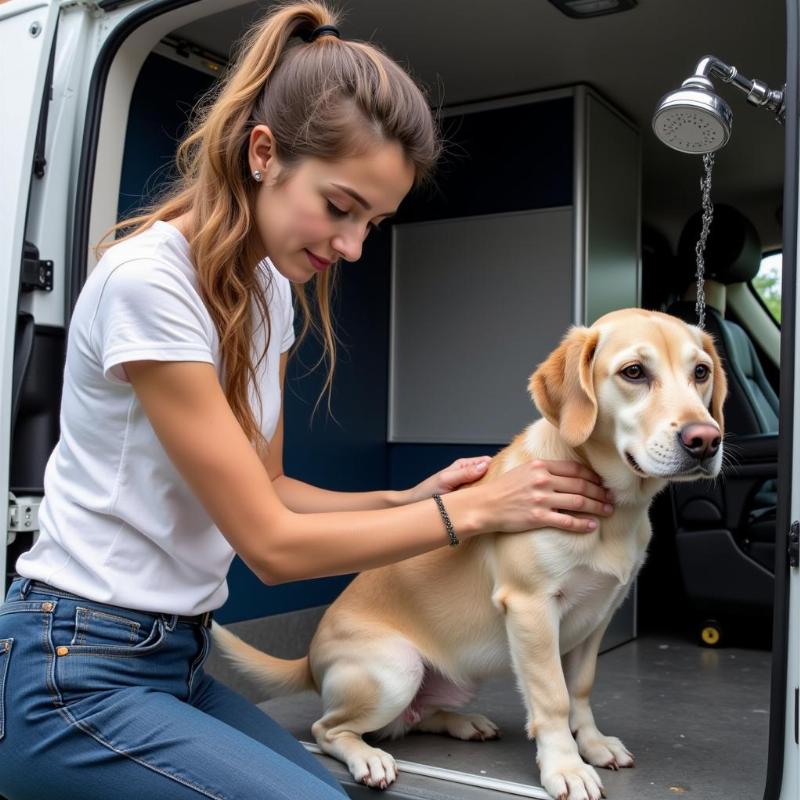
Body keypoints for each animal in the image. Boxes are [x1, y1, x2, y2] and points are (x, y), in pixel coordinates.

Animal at [212, 308, 724, 800]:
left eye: (700, 372)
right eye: (634, 372)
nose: (706, 439)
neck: (616, 509)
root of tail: (309, 659)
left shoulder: (601, 612)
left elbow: (579, 688)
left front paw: (593, 744)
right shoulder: (531, 608)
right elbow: (553, 698)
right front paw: (565, 767)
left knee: (413, 719)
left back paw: (463, 723)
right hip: (396, 668)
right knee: (330, 730)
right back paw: (368, 758)